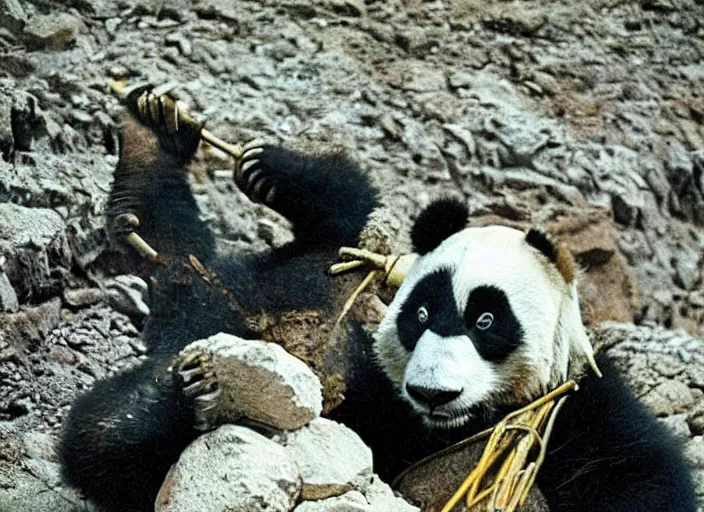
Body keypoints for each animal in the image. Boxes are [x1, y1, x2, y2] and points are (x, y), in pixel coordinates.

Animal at [60, 88, 700, 512]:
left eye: (487, 320)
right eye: (420, 314)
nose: (434, 392)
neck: (451, 426)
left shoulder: (577, 407)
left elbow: (636, 474)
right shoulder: (379, 404)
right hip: (263, 299)